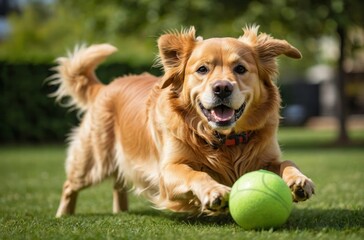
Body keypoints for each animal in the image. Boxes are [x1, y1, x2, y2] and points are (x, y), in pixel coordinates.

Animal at [52, 26, 316, 218]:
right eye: (202, 69)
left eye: (240, 68)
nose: (222, 88)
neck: (224, 140)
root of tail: (105, 87)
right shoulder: (168, 170)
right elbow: (195, 174)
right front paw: (214, 191)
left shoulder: (266, 158)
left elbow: (286, 162)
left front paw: (299, 180)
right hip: (93, 162)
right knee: (69, 186)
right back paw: (62, 215)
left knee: (118, 184)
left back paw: (121, 212)